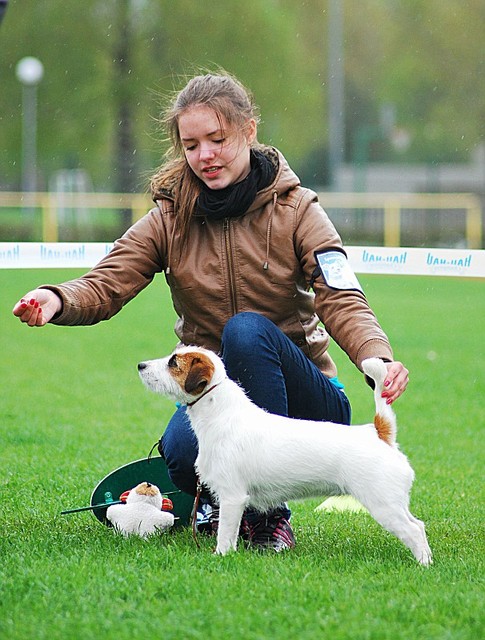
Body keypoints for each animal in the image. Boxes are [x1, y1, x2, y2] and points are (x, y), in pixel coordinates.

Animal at [137, 344, 432, 564]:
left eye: (173, 363)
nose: (140, 365)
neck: (222, 413)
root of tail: (378, 433)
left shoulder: (232, 497)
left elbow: (226, 533)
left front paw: (221, 555)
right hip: (393, 503)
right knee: (418, 525)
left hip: (383, 504)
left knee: (413, 531)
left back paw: (423, 565)